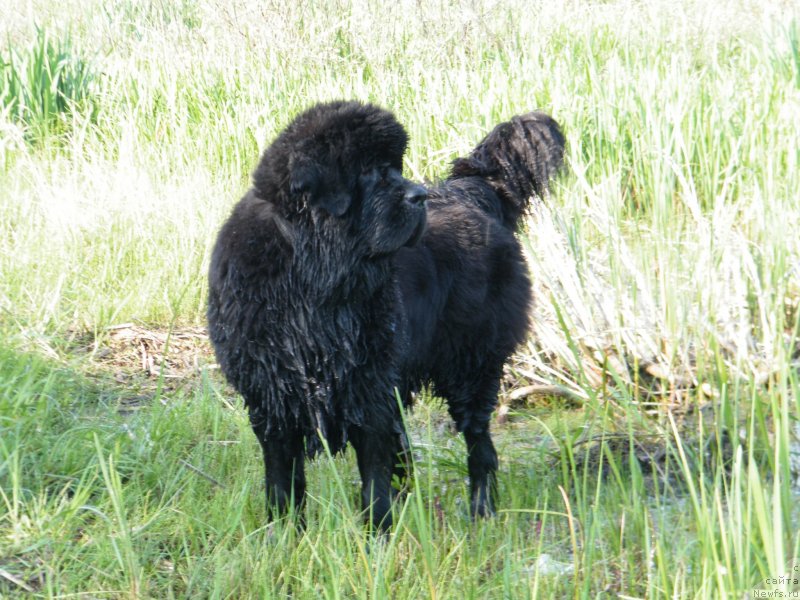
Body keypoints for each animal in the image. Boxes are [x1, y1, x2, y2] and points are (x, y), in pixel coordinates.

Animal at [209, 101, 564, 532]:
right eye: (372, 172)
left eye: (395, 168)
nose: (419, 196)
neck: (312, 280)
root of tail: (470, 192)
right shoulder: (271, 398)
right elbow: (282, 482)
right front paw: (286, 535)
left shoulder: (369, 391)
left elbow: (374, 479)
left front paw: (376, 534)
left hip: (471, 364)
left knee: (479, 444)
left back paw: (482, 511)